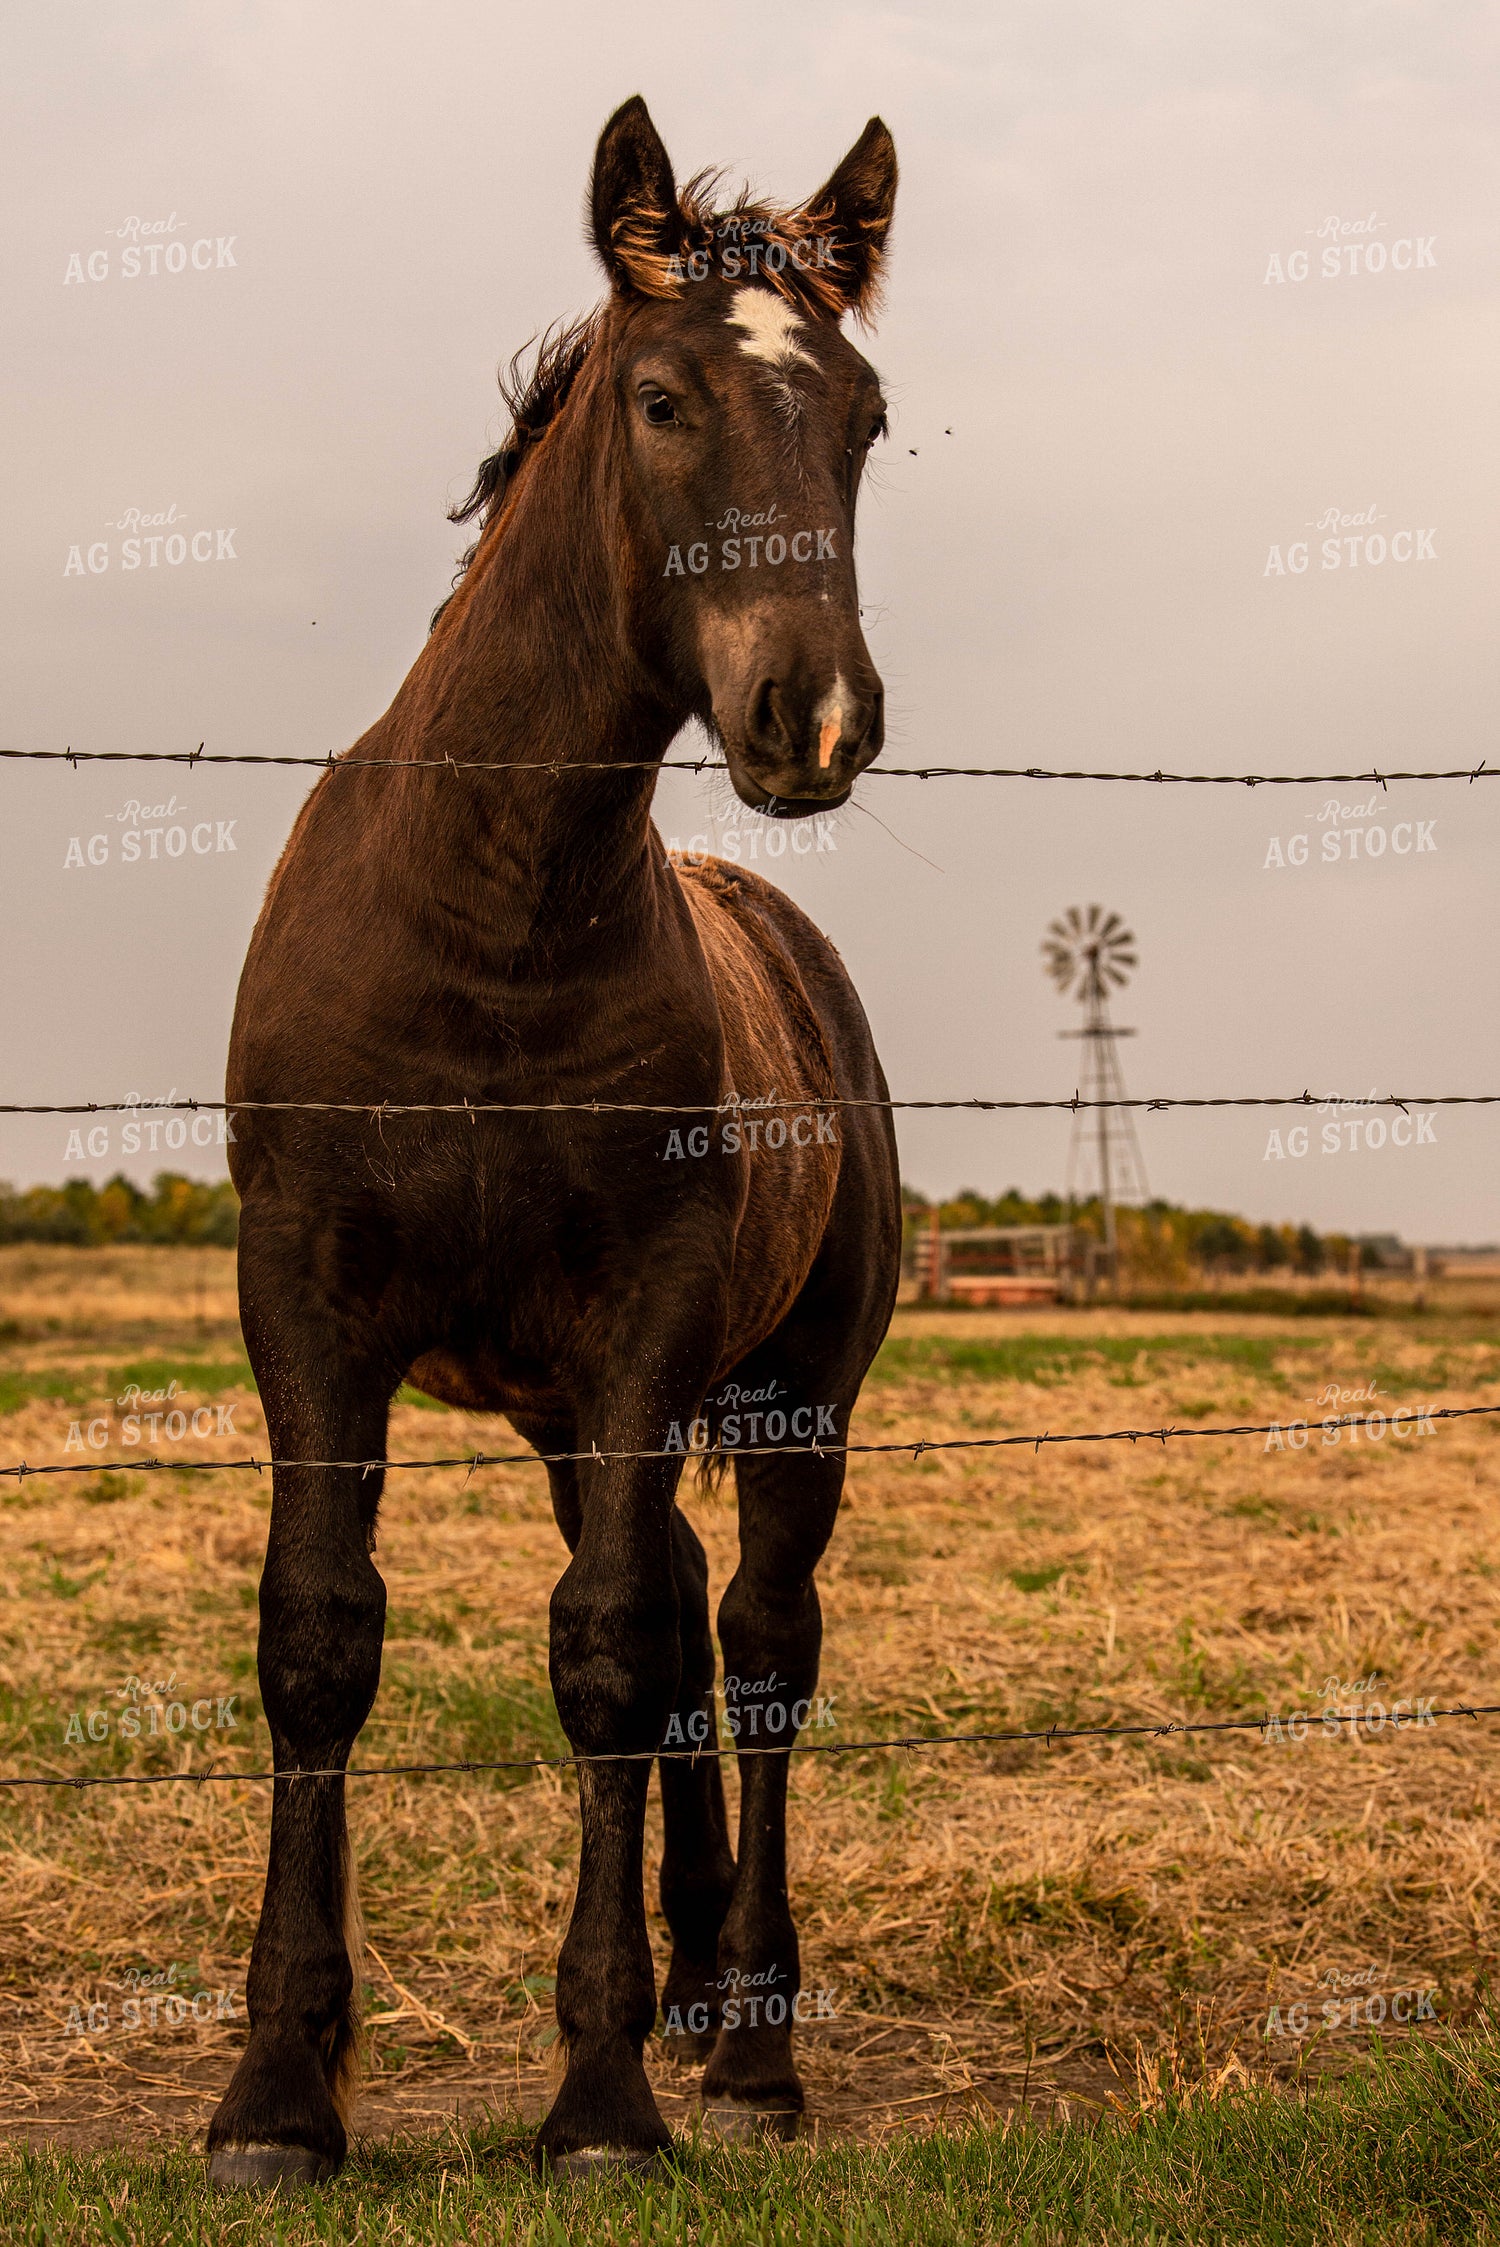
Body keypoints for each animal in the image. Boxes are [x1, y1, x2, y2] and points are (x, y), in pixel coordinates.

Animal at [206, 94, 900, 2185]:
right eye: (664, 399)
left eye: (866, 417)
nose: (811, 714)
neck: (491, 915)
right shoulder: (313, 1307)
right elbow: (320, 1636)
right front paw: (278, 2096)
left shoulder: (641, 1321)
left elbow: (604, 1654)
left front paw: (599, 2098)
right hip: (575, 1409)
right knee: (679, 1604)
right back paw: (695, 1984)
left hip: (783, 1392)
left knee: (750, 1638)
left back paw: (749, 2044)